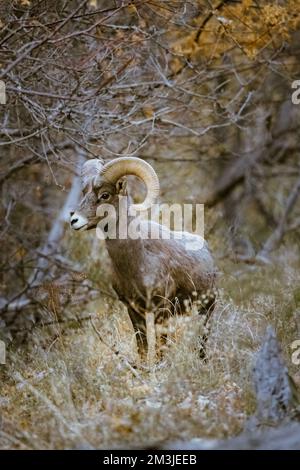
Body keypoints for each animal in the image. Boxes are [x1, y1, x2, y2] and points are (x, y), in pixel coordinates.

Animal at [69, 158, 216, 364]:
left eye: (105, 195)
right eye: (85, 192)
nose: (74, 220)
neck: (136, 262)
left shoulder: (162, 310)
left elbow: (160, 350)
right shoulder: (133, 310)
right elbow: (143, 348)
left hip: (206, 310)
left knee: (202, 344)